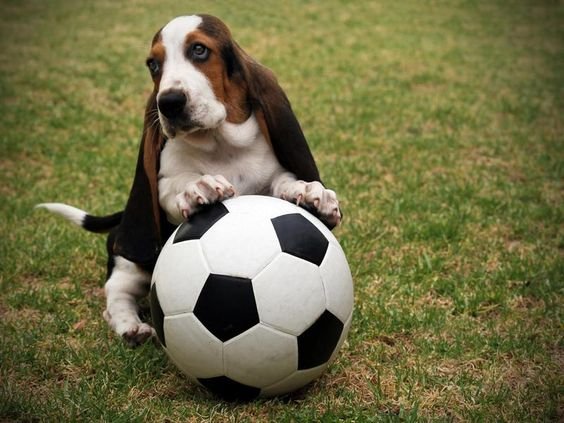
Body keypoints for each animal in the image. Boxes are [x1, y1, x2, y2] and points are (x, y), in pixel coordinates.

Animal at [38, 15, 344, 348]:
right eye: (153, 65)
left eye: (199, 50)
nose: (169, 102)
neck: (220, 145)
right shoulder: (164, 183)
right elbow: (173, 185)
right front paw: (198, 186)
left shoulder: (271, 175)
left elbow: (283, 182)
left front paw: (308, 190)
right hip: (128, 262)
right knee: (117, 294)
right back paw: (131, 327)